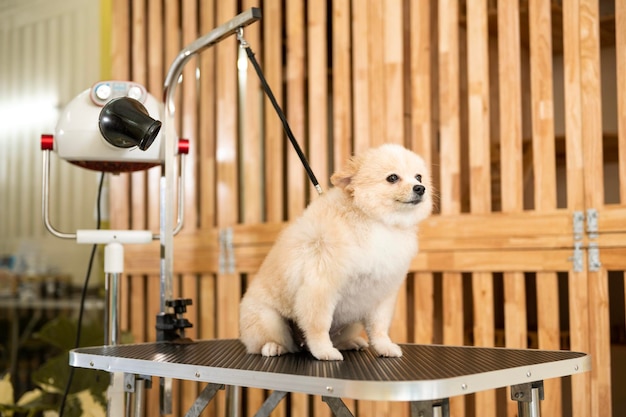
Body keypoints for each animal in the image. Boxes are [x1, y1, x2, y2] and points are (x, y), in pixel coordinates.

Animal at [238, 143, 428, 358]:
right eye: (393, 178)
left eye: (419, 177)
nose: (420, 188)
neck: (376, 222)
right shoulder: (320, 286)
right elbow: (318, 324)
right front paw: (323, 351)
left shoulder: (382, 292)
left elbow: (379, 327)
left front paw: (384, 347)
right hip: (269, 320)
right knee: (268, 341)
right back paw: (273, 346)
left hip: (351, 321)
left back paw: (350, 342)